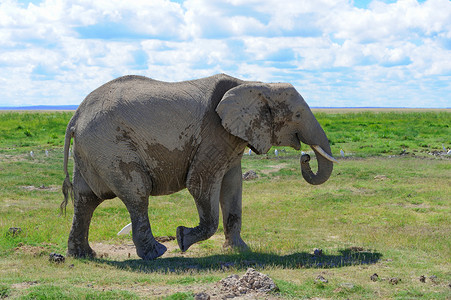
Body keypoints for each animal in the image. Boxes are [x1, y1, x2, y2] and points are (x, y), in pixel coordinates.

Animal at [59, 73, 336, 260]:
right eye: (297, 116)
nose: (305, 157)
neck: (256, 83)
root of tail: (75, 116)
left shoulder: (231, 138)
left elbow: (232, 188)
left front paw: (239, 250)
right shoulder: (213, 133)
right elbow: (200, 184)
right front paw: (182, 238)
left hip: (91, 150)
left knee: (86, 199)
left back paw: (84, 255)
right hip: (111, 145)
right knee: (137, 192)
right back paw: (156, 253)